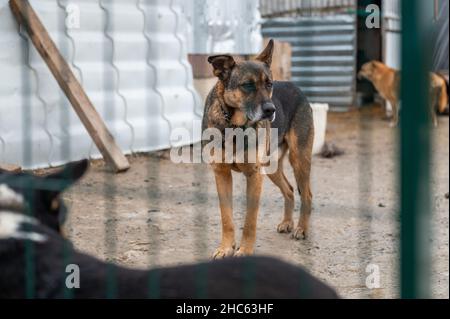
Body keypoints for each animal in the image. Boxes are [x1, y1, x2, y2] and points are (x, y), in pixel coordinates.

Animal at [0, 162, 338, 300]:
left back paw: (301, 229)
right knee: (290, 189)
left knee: (304, 192)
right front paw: (227, 248)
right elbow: (228, 218)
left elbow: (248, 221)